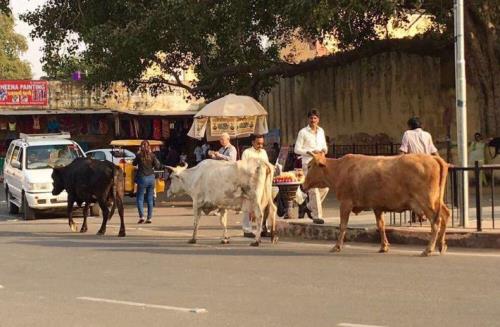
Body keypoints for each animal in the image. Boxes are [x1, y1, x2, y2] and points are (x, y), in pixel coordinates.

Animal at [302, 152, 452, 258]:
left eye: (309, 166)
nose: (302, 186)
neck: (339, 170)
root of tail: (434, 158)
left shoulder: (345, 203)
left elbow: (343, 225)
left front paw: (337, 246)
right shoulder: (377, 206)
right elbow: (381, 226)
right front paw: (384, 246)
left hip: (426, 201)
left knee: (436, 222)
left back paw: (428, 249)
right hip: (436, 200)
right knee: (445, 215)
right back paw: (441, 245)